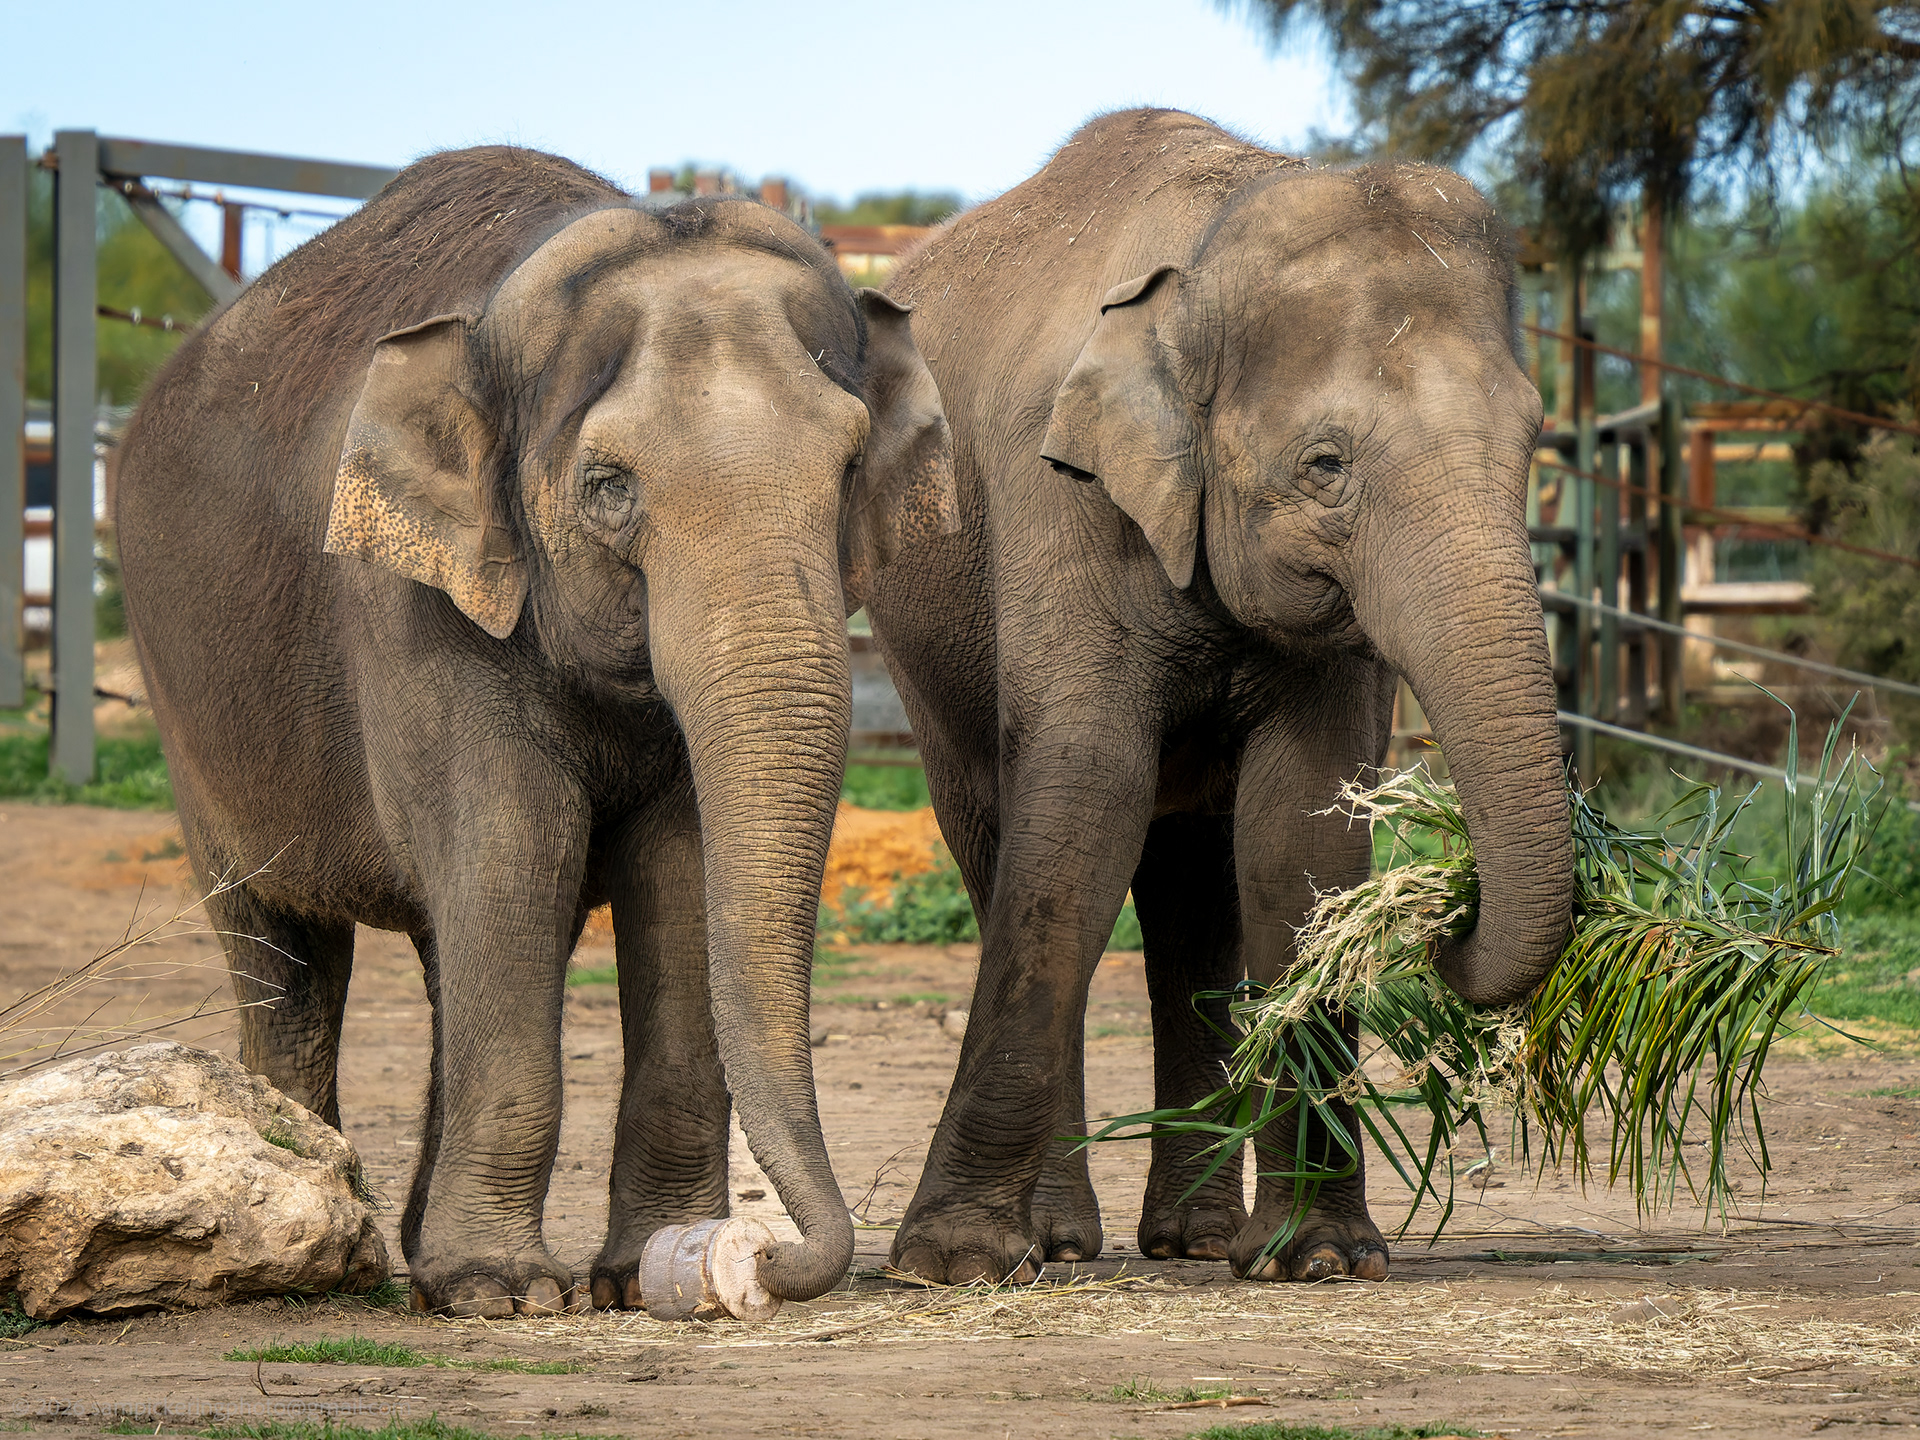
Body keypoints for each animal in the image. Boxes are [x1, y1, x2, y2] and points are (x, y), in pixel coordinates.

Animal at [114, 146, 955, 1316]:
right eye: (607, 485)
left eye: (846, 470)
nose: (763, 1258)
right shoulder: (415, 603)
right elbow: (517, 851)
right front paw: (498, 1291)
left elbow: (674, 873)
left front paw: (633, 1273)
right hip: (186, 708)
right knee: (282, 955)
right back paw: (329, 1238)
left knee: (438, 950)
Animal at [865, 109, 1572, 1284]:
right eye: (1325, 464)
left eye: (1533, 443)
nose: (1448, 919)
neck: (1204, 249)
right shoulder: (1058, 502)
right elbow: (1082, 802)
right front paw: (953, 1263)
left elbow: (1299, 829)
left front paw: (1319, 1259)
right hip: (924, 653)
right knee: (1004, 841)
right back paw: (1061, 1242)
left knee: (1191, 898)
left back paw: (1189, 1240)